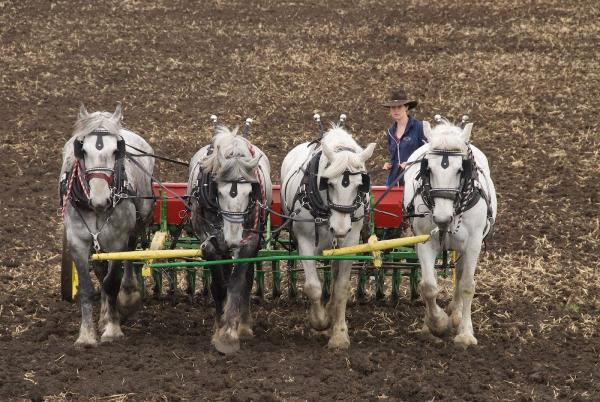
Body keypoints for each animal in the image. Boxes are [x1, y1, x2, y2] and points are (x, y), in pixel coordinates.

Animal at [59, 105, 155, 348]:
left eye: (115, 151)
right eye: (82, 151)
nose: (101, 200)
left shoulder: (117, 240)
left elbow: (112, 282)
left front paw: (113, 330)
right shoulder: (77, 241)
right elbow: (86, 288)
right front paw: (86, 336)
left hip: (138, 220)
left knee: (128, 257)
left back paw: (127, 295)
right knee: (100, 271)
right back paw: (103, 315)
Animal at [188, 125, 272, 352]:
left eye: (249, 192)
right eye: (220, 191)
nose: (232, 238)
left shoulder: (249, 241)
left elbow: (237, 283)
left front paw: (229, 335)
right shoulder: (210, 241)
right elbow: (219, 284)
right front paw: (220, 326)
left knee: (246, 279)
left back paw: (243, 325)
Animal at [282, 126, 376, 348]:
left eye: (360, 185)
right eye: (329, 184)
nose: (339, 229)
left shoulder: (350, 242)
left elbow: (341, 288)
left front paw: (339, 334)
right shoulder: (305, 241)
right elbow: (313, 286)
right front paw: (320, 321)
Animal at [404, 120, 496, 348]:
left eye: (460, 169)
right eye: (428, 168)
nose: (442, 218)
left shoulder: (473, 245)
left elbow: (467, 286)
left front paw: (465, 333)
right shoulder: (425, 242)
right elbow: (428, 286)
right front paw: (436, 324)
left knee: (460, 277)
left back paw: (456, 312)